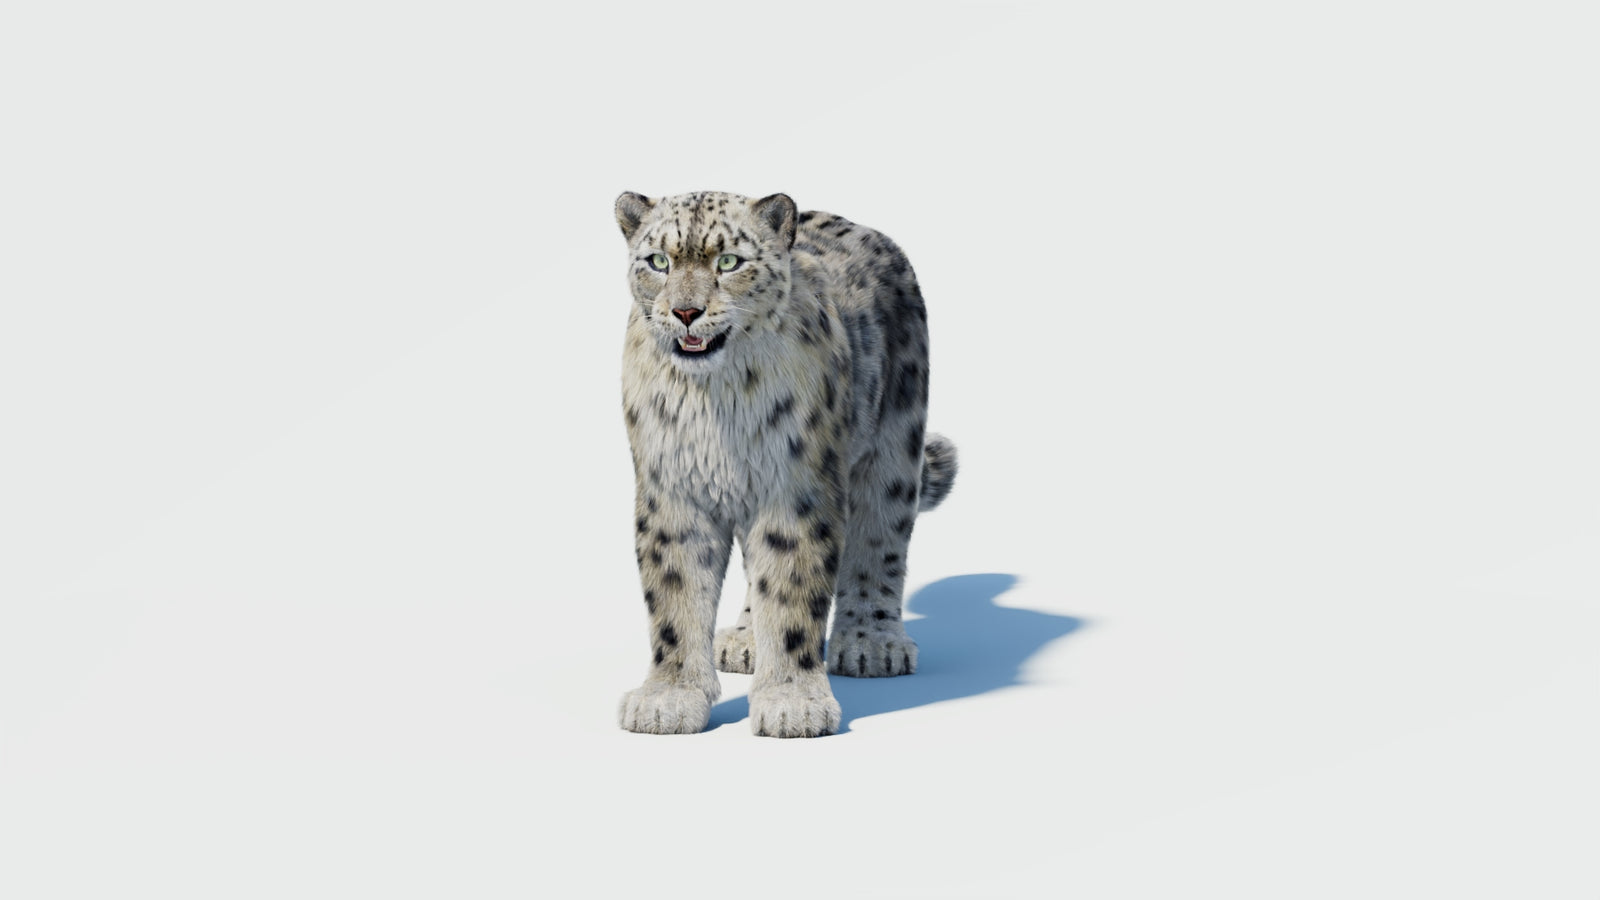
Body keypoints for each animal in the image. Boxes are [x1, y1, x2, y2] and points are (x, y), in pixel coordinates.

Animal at [614, 190, 957, 738]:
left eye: (728, 261)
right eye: (658, 261)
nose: (686, 311)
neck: (716, 402)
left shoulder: (795, 485)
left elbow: (793, 586)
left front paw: (792, 703)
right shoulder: (672, 488)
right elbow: (675, 594)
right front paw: (668, 698)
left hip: (894, 451)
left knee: (880, 540)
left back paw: (873, 644)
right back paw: (746, 639)